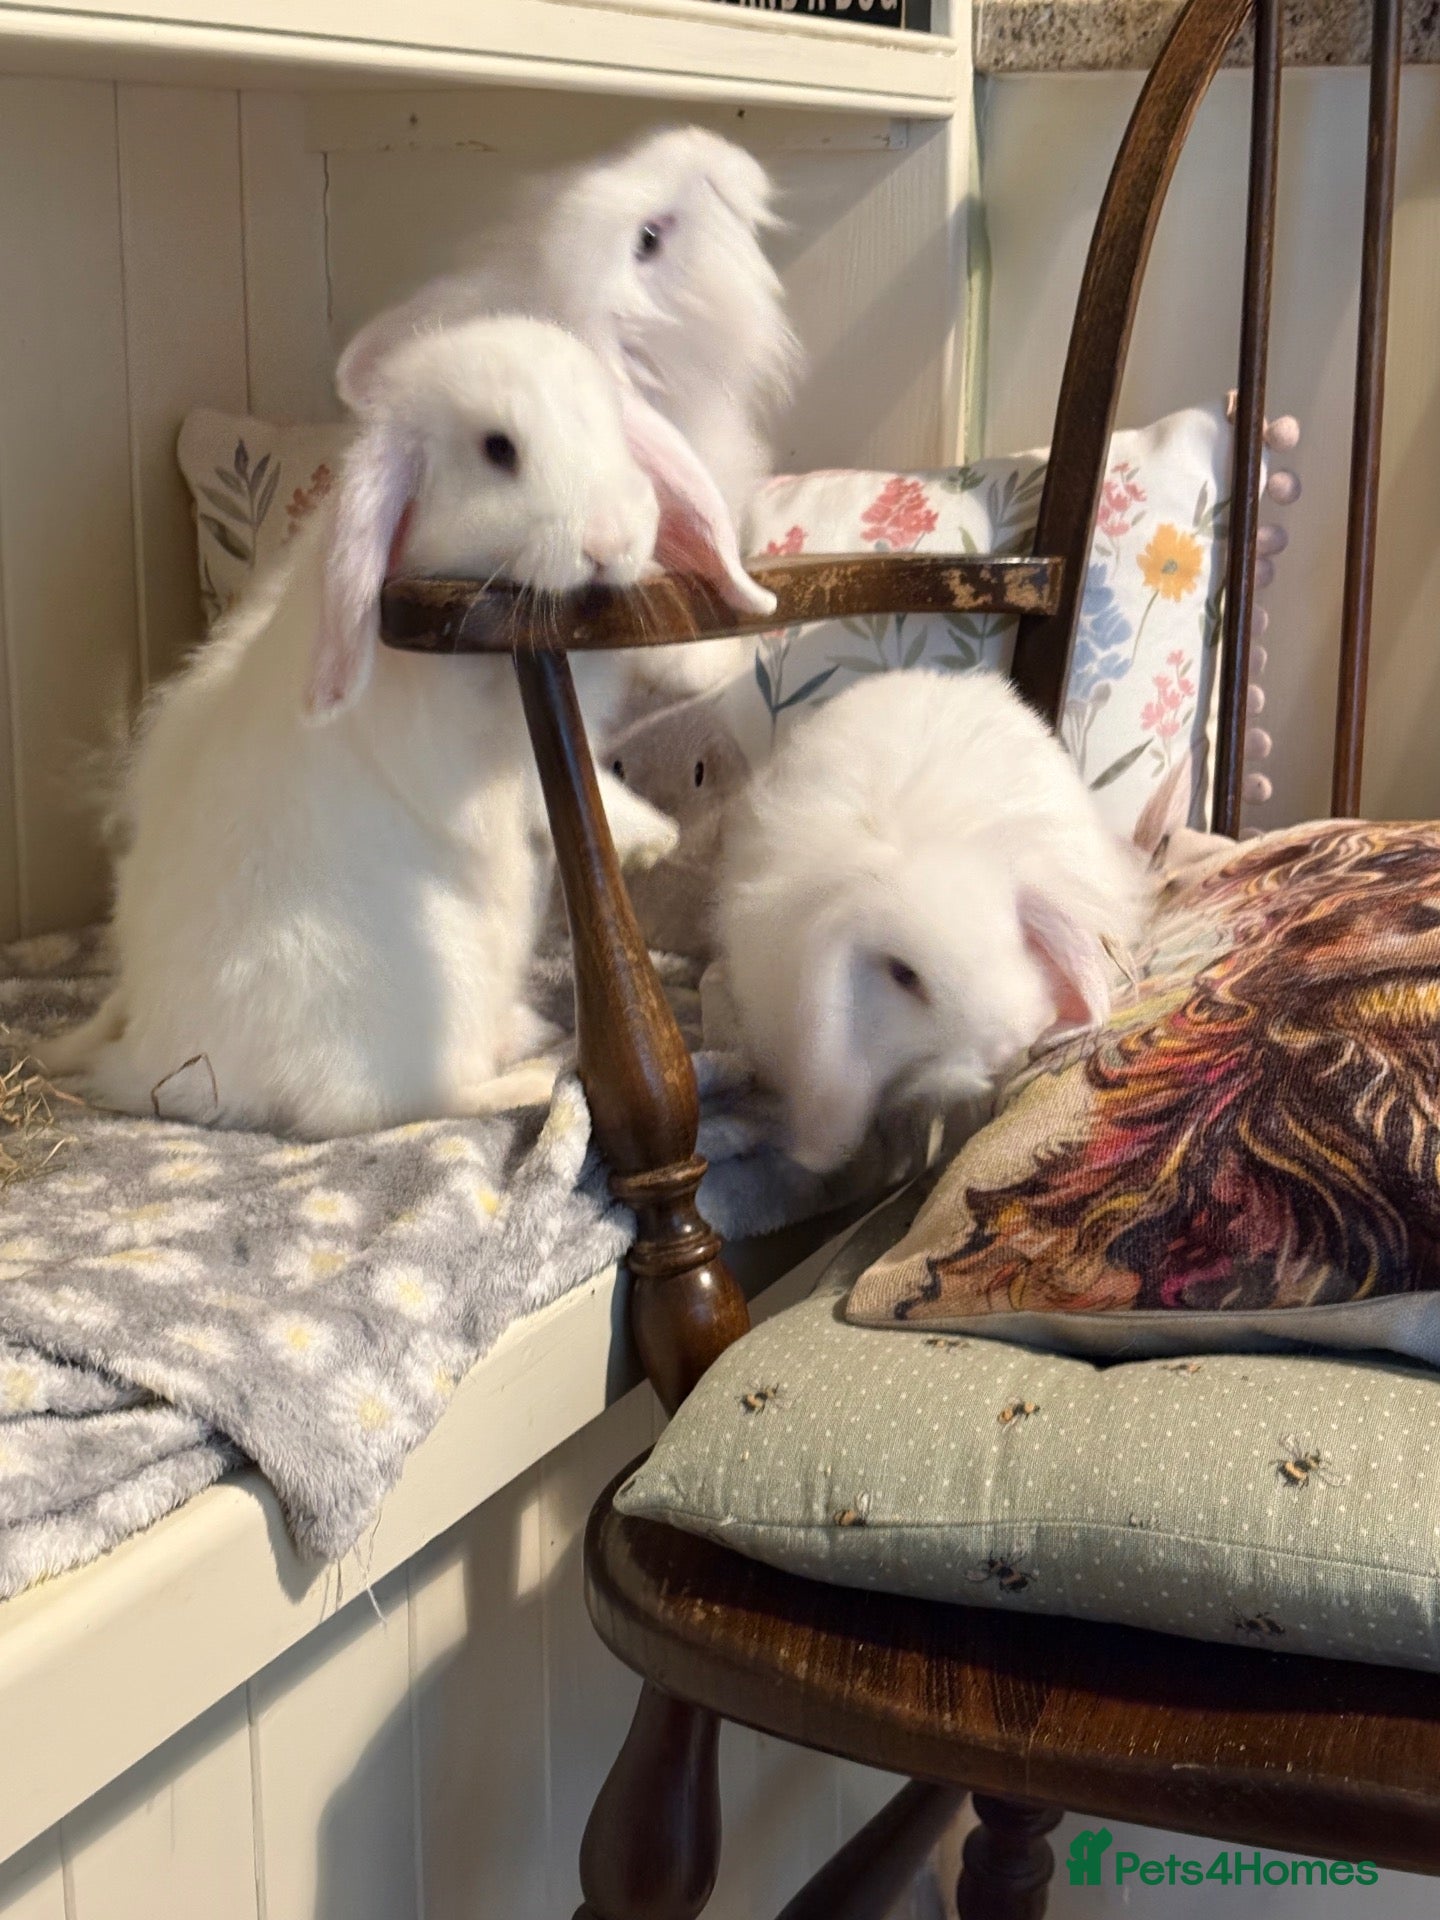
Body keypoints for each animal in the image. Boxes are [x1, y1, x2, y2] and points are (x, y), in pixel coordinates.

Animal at [38, 314, 771, 1137]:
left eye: (615, 428)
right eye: (497, 449)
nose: (609, 543)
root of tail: (167, 1072)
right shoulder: (496, 745)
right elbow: (550, 785)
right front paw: (650, 837)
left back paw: (526, 1031)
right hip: (424, 1001)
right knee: (406, 1107)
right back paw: (530, 1077)